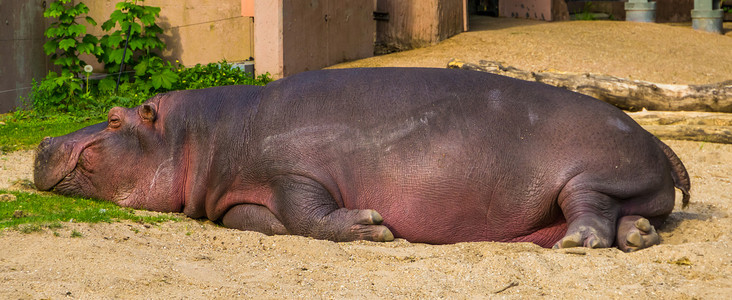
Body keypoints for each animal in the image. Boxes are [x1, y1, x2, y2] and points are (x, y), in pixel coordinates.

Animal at [31, 67, 688, 251]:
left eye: (113, 119)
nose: (39, 143)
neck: (198, 134)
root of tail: (659, 140)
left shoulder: (294, 172)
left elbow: (307, 212)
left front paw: (374, 226)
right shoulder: (238, 197)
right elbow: (266, 220)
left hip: (592, 173)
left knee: (589, 206)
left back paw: (582, 243)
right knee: (629, 215)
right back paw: (640, 236)